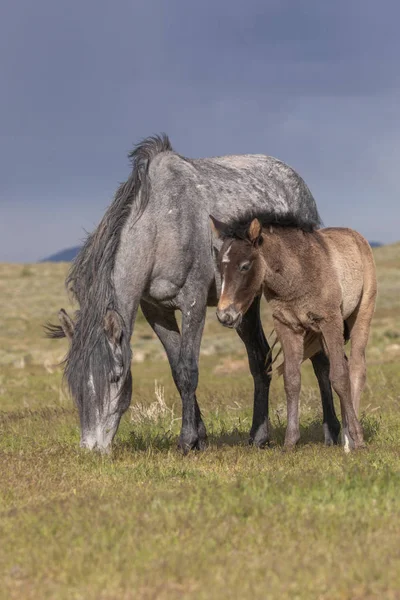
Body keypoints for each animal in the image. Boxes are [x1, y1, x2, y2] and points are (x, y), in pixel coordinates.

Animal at [46, 136, 338, 452]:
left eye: (115, 377)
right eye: (75, 383)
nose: (91, 448)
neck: (162, 226)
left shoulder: (193, 301)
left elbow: (188, 369)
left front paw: (187, 440)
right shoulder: (156, 311)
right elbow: (176, 369)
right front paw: (200, 437)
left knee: (320, 359)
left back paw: (332, 432)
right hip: (245, 307)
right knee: (260, 357)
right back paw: (258, 436)